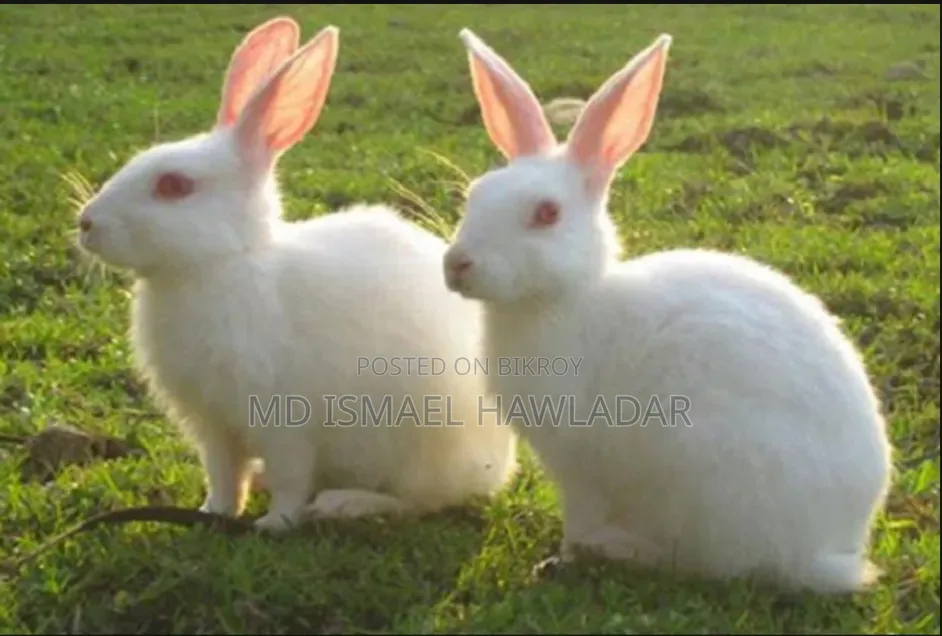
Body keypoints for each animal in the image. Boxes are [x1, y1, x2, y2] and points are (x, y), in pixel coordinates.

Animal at [74, 17, 517, 532]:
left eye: (173, 186)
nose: (86, 222)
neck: (221, 264)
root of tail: (498, 464)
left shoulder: (284, 423)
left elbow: (290, 477)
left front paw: (274, 524)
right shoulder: (214, 426)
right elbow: (223, 475)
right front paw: (214, 512)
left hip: (423, 454)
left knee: (420, 501)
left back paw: (345, 503)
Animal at [440, 28, 893, 594]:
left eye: (546, 214)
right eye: (474, 194)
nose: (457, 264)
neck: (567, 300)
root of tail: (831, 551)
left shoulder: (580, 465)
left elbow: (577, 518)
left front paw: (561, 558)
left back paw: (625, 549)